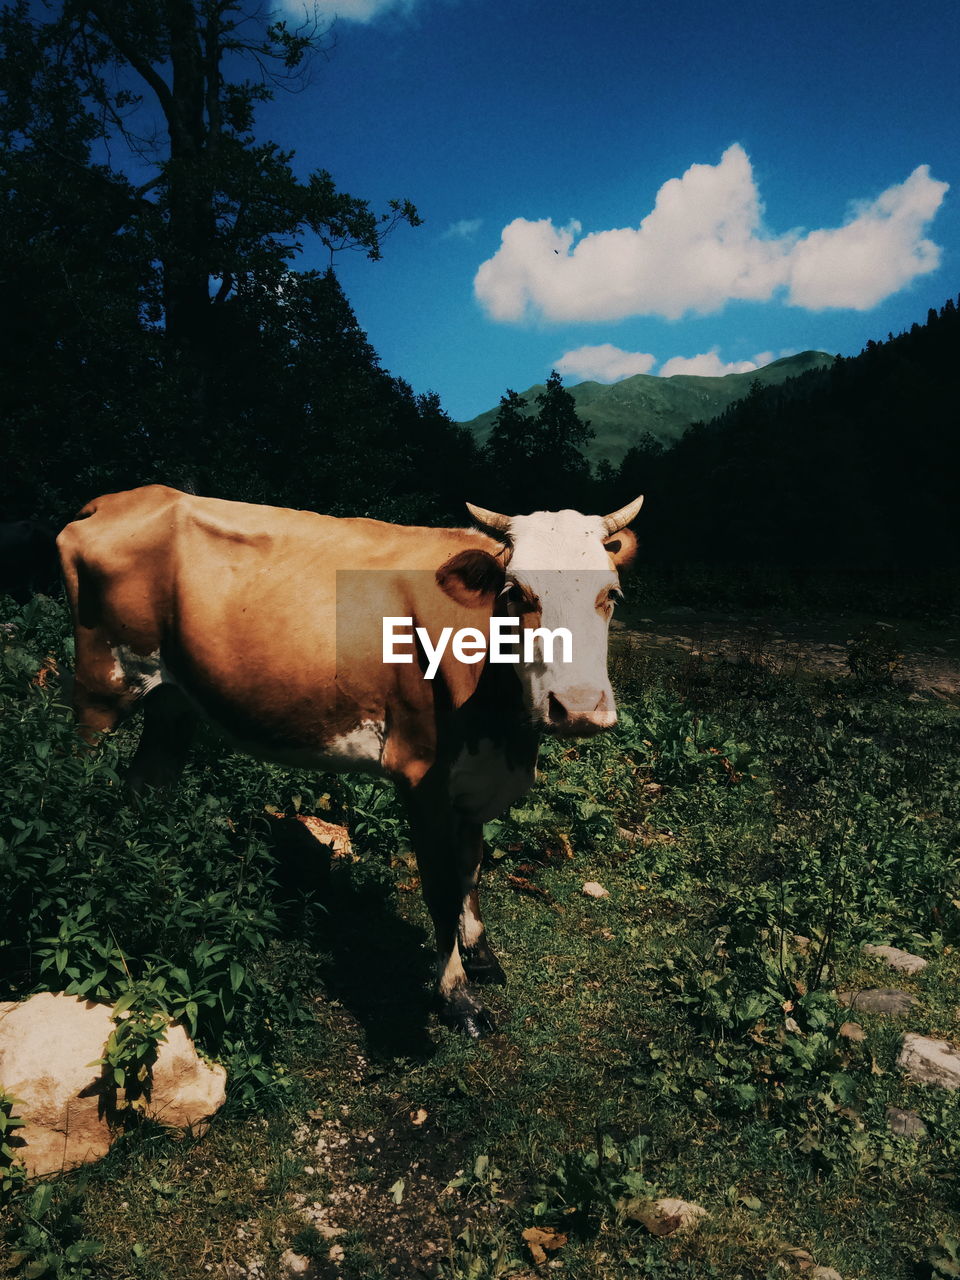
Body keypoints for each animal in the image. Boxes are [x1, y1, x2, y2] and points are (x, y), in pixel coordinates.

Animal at [60, 483, 647, 1034]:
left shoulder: (474, 777)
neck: (504, 731)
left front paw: (481, 956)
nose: (578, 707)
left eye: (612, 593)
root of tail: (124, 499)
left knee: (146, 783)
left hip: (172, 701)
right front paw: (457, 996)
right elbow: (441, 886)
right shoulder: (422, 774)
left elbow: (472, 867)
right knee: (78, 785)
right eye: (515, 591)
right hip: (99, 691)